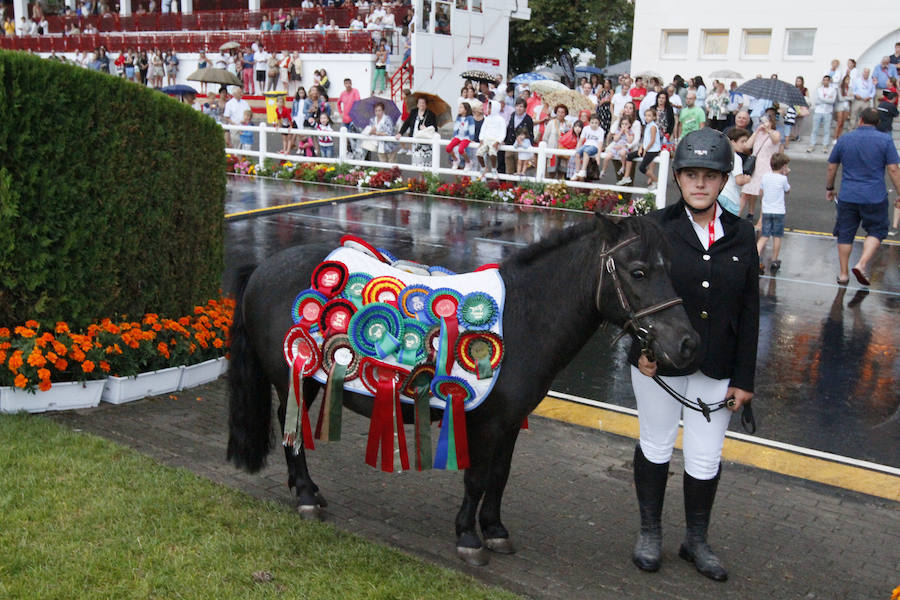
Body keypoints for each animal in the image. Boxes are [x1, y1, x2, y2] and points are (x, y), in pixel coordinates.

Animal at [229, 213, 700, 564]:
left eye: (671, 270)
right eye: (639, 271)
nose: (686, 343)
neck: (523, 317)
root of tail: (263, 268)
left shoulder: (510, 423)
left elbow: (499, 476)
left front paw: (494, 530)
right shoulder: (486, 424)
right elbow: (476, 479)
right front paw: (469, 538)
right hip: (296, 377)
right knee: (290, 428)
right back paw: (307, 495)